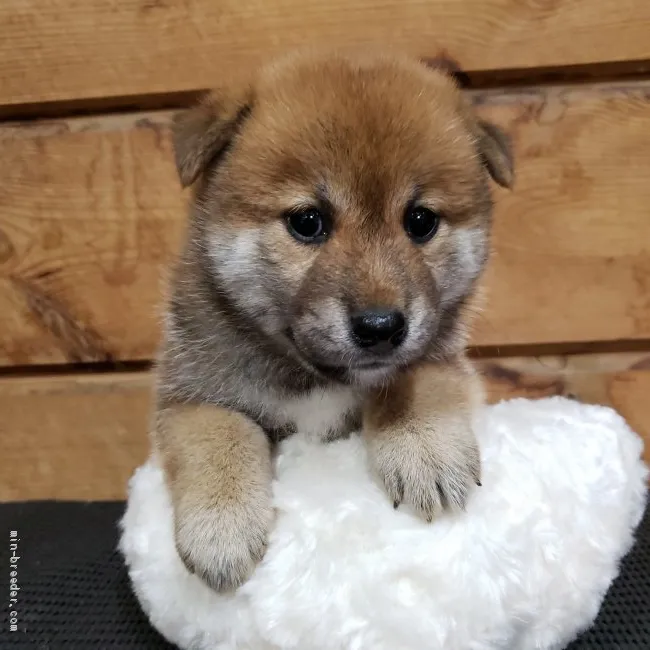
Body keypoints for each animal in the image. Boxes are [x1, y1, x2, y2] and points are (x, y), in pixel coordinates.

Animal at [152, 48, 512, 588]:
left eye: (421, 221)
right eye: (307, 221)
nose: (382, 327)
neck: (313, 379)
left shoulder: (444, 355)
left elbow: (415, 380)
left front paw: (424, 447)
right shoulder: (190, 396)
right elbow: (220, 435)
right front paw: (221, 527)